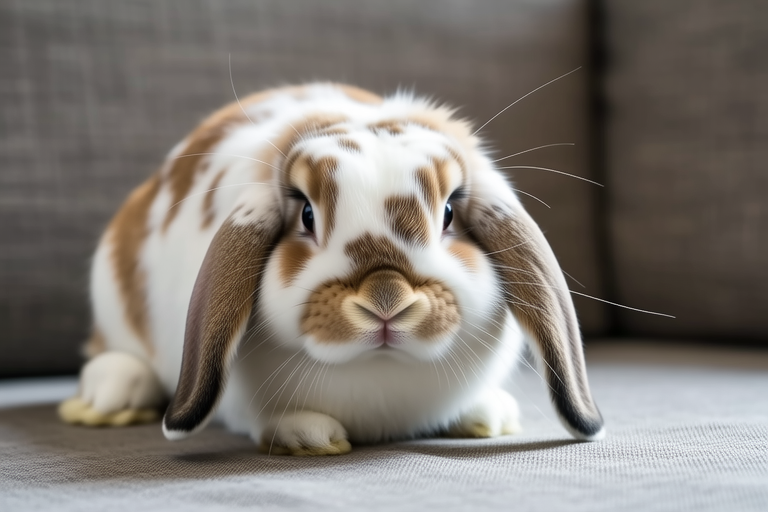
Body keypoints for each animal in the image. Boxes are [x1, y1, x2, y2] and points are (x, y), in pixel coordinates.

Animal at [58, 83, 604, 455]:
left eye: (449, 212)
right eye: (306, 215)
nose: (387, 298)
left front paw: (488, 416)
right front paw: (309, 435)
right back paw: (111, 396)